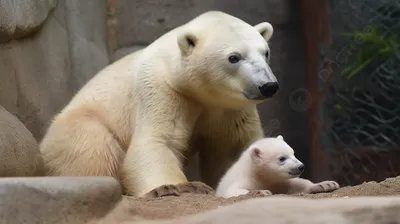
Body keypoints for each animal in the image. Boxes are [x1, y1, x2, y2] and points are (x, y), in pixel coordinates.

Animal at [39, 10, 280, 196]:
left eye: (266, 52)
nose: (268, 85)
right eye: (234, 57)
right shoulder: (163, 90)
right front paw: (177, 187)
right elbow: (157, 142)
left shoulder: (230, 107)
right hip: (79, 126)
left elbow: (233, 147)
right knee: (93, 149)